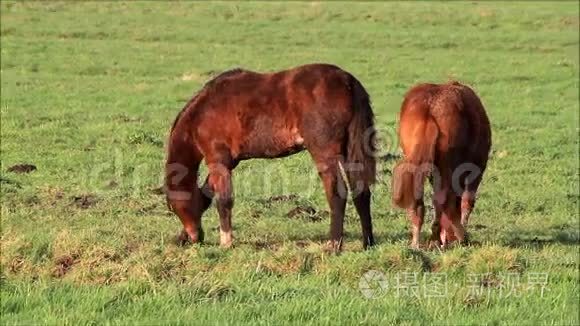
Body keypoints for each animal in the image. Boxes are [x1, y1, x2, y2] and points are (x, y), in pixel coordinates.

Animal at [165, 63, 378, 252]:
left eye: (174, 207)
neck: (201, 115)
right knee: (361, 192)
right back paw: (368, 243)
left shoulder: (218, 161)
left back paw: (334, 245)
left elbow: (223, 201)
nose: (194, 237)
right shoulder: (228, 162)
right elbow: (206, 194)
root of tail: (347, 80)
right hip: (351, 152)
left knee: (337, 194)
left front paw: (226, 243)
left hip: (324, 153)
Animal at [392, 82, 492, 250]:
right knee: (447, 200)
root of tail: (430, 106)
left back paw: (418, 242)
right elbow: (466, 202)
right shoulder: (476, 169)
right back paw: (461, 237)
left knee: (422, 201)